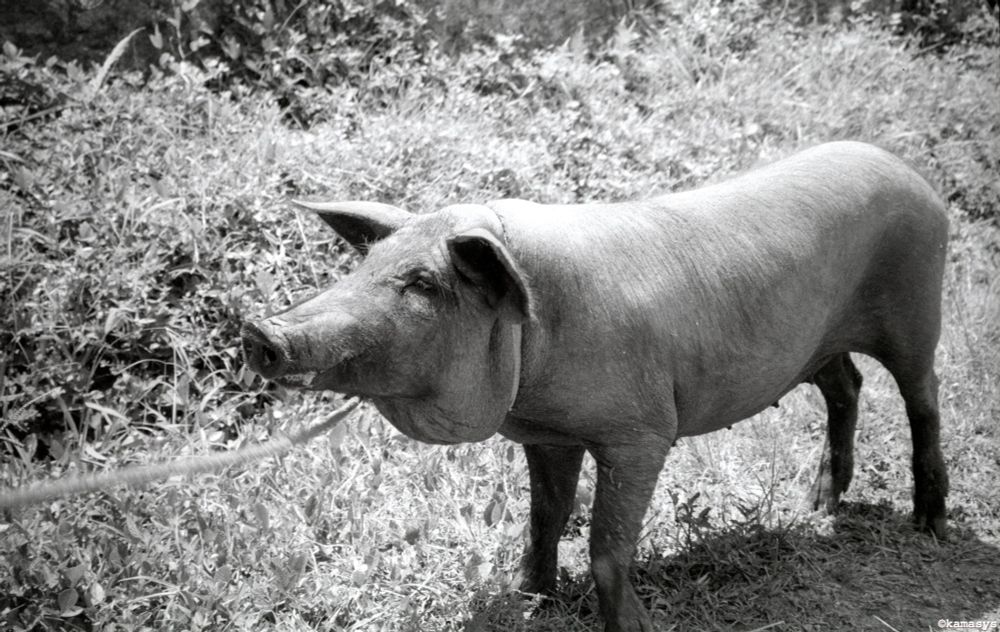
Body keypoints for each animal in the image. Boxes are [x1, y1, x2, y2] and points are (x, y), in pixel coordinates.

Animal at [240, 143, 944, 632]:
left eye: (423, 283)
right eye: (366, 265)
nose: (259, 329)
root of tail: (911, 175)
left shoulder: (642, 431)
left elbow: (608, 545)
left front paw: (634, 627)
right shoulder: (548, 435)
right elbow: (544, 520)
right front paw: (528, 601)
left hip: (916, 308)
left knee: (921, 399)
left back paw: (930, 525)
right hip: (818, 342)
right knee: (846, 384)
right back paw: (818, 506)